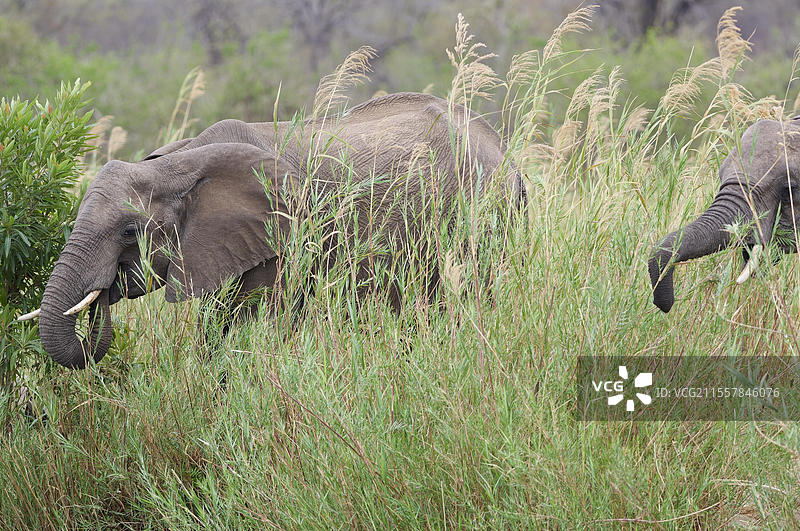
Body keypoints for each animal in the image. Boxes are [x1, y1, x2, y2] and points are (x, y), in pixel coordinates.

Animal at [19, 92, 525, 368]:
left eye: (128, 231)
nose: (101, 297)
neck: (178, 163)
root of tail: (502, 148)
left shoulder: (279, 237)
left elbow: (258, 322)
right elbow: (216, 323)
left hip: (484, 210)